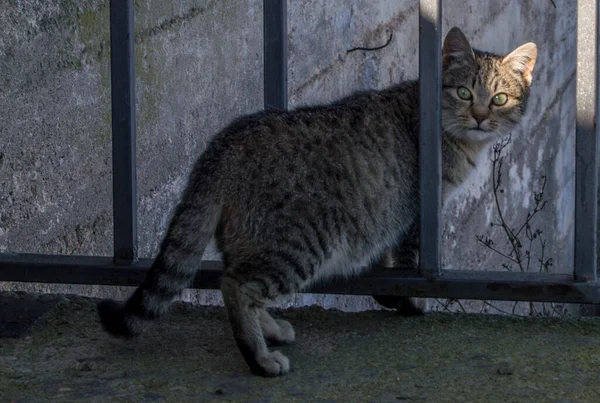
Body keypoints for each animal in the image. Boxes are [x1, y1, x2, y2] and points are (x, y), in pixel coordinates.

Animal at [98, 28, 540, 378]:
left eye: (499, 98)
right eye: (464, 92)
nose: (480, 116)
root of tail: (224, 145)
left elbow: (383, 260)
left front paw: (389, 294)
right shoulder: (416, 216)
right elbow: (408, 261)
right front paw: (410, 301)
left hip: (249, 240)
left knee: (238, 279)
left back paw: (270, 330)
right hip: (300, 242)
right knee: (236, 285)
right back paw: (259, 357)